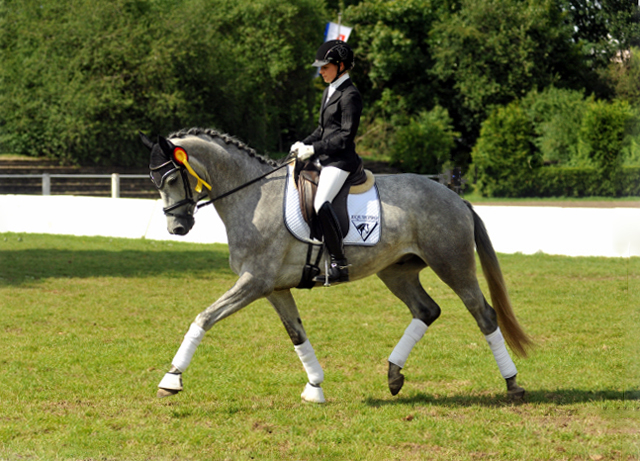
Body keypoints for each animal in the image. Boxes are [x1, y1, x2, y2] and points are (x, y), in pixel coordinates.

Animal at [142, 126, 532, 402]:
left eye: (172, 178)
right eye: (154, 180)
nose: (177, 228)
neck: (253, 197)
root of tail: (455, 197)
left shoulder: (254, 281)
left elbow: (204, 317)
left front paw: (171, 379)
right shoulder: (273, 287)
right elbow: (296, 333)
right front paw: (315, 386)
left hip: (453, 265)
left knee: (483, 314)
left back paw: (512, 384)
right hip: (397, 271)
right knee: (427, 310)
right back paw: (394, 375)